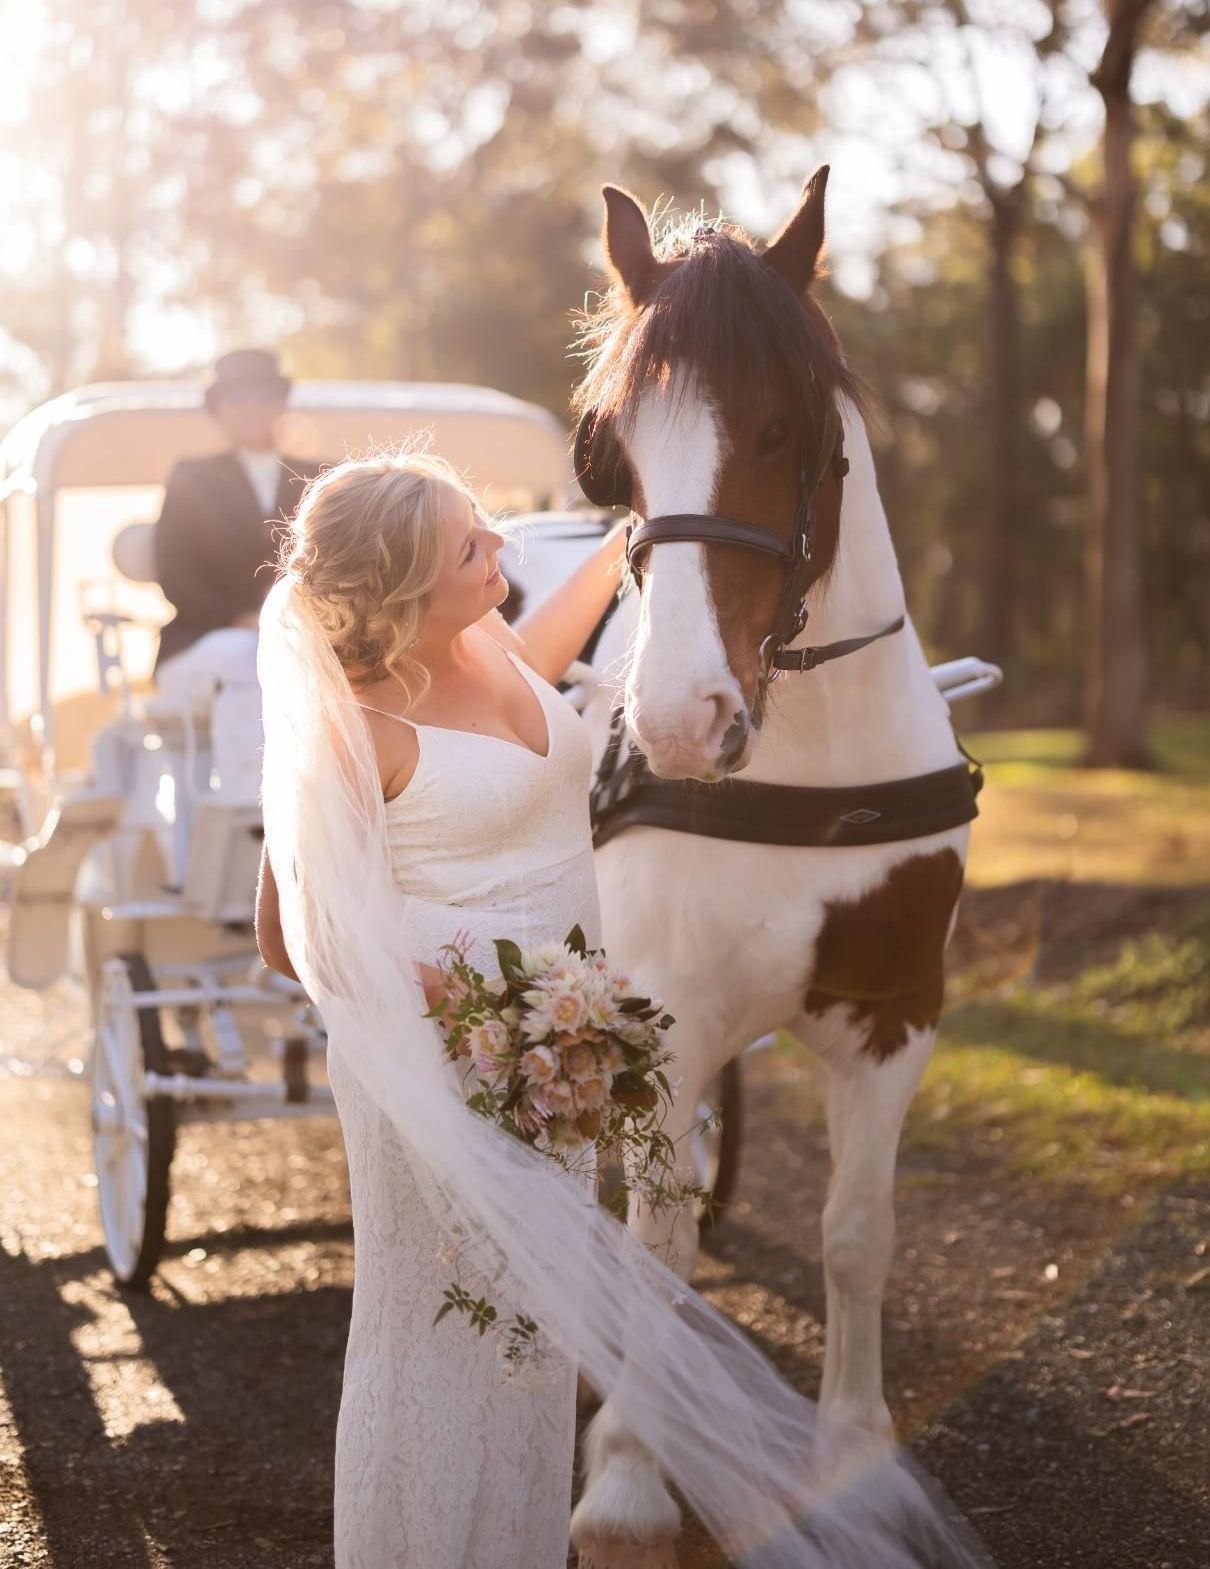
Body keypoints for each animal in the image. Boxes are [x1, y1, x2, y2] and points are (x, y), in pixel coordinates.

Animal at [568, 169, 977, 1568]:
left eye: (782, 426)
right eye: (607, 448)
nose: (680, 721)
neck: (806, 782)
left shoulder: (894, 1012)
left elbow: (856, 1234)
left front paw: (851, 1458)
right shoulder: (664, 1020)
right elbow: (656, 1243)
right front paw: (629, 1478)